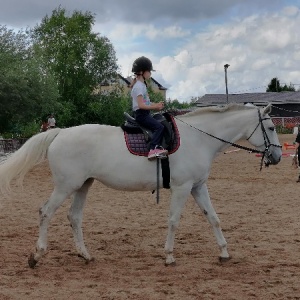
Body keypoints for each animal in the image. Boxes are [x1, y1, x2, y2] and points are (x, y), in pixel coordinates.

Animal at [0, 103, 282, 268]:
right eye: (270, 126)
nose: (277, 157)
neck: (198, 138)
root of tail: (60, 133)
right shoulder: (182, 188)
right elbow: (173, 221)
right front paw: (169, 256)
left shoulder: (198, 187)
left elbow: (213, 218)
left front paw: (224, 253)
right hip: (65, 186)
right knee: (46, 212)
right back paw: (37, 255)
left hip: (83, 185)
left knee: (74, 217)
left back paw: (85, 255)